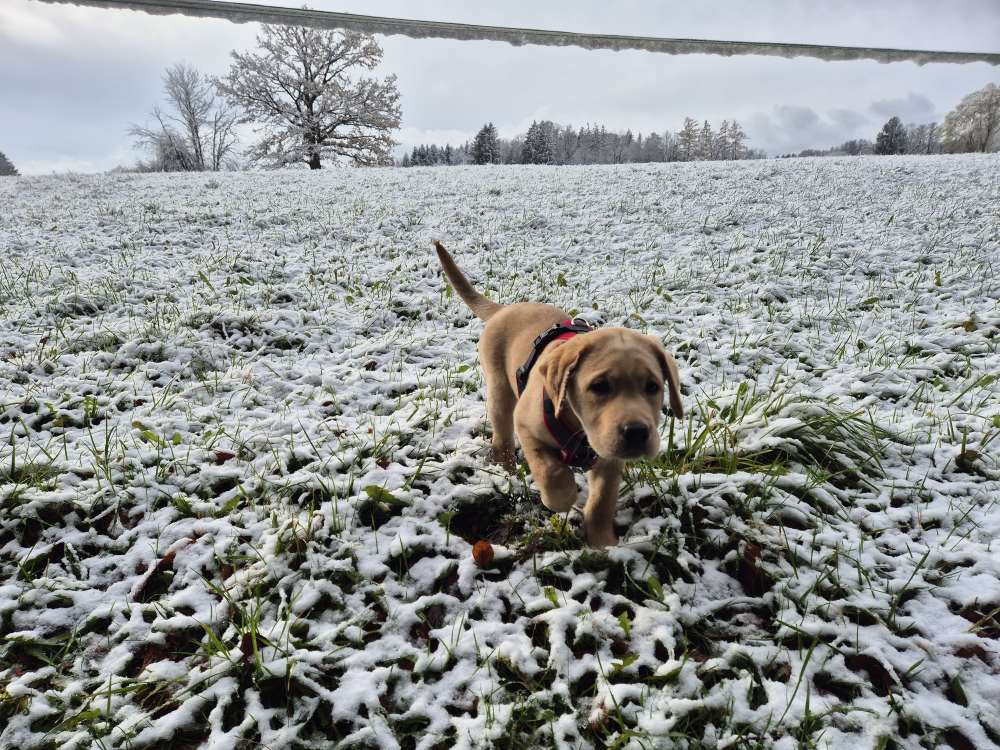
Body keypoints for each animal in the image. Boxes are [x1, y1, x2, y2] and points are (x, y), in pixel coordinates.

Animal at [434, 244, 684, 548]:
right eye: (600, 386)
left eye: (652, 387)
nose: (636, 432)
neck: (579, 429)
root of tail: (504, 309)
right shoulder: (527, 427)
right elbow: (551, 472)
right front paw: (563, 497)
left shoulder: (611, 458)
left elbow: (602, 500)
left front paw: (602, 541)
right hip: (500, 393)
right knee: (502, 437)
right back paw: (507, 470)